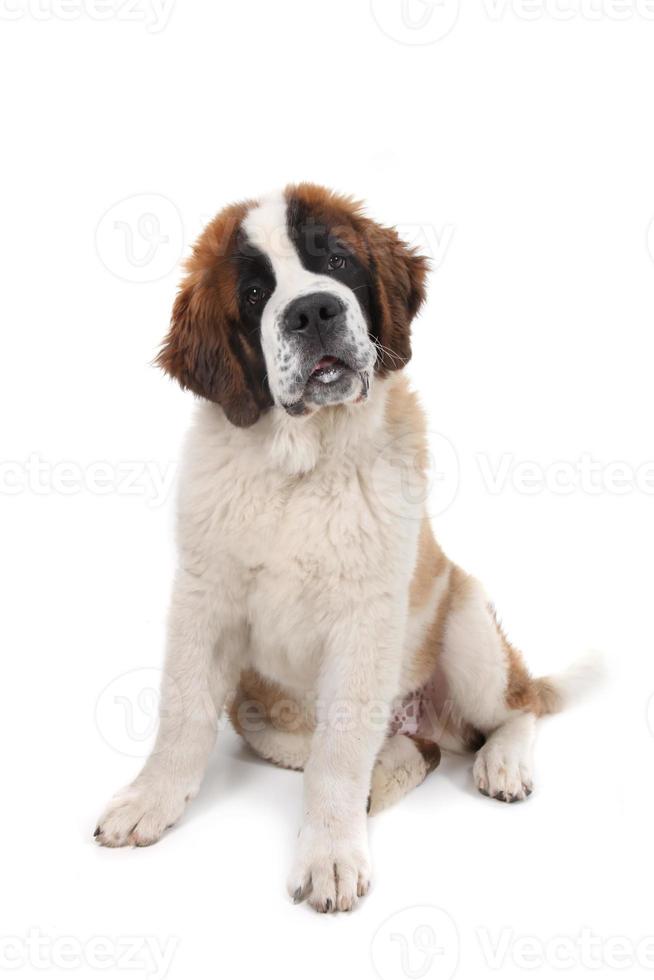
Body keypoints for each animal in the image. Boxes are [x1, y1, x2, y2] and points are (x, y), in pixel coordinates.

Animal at [95, 182, 604, 912]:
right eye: (255, 293)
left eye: (336, 260)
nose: (313, 310)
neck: (301, 466)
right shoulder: (204, 597)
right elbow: (183, 712)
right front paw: (151, 799)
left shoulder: (366, 619)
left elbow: (339, 754)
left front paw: (330, 855)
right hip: (262, 711)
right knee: (400, 752)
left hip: (467, 623)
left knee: (518, 707)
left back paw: (501, 761)